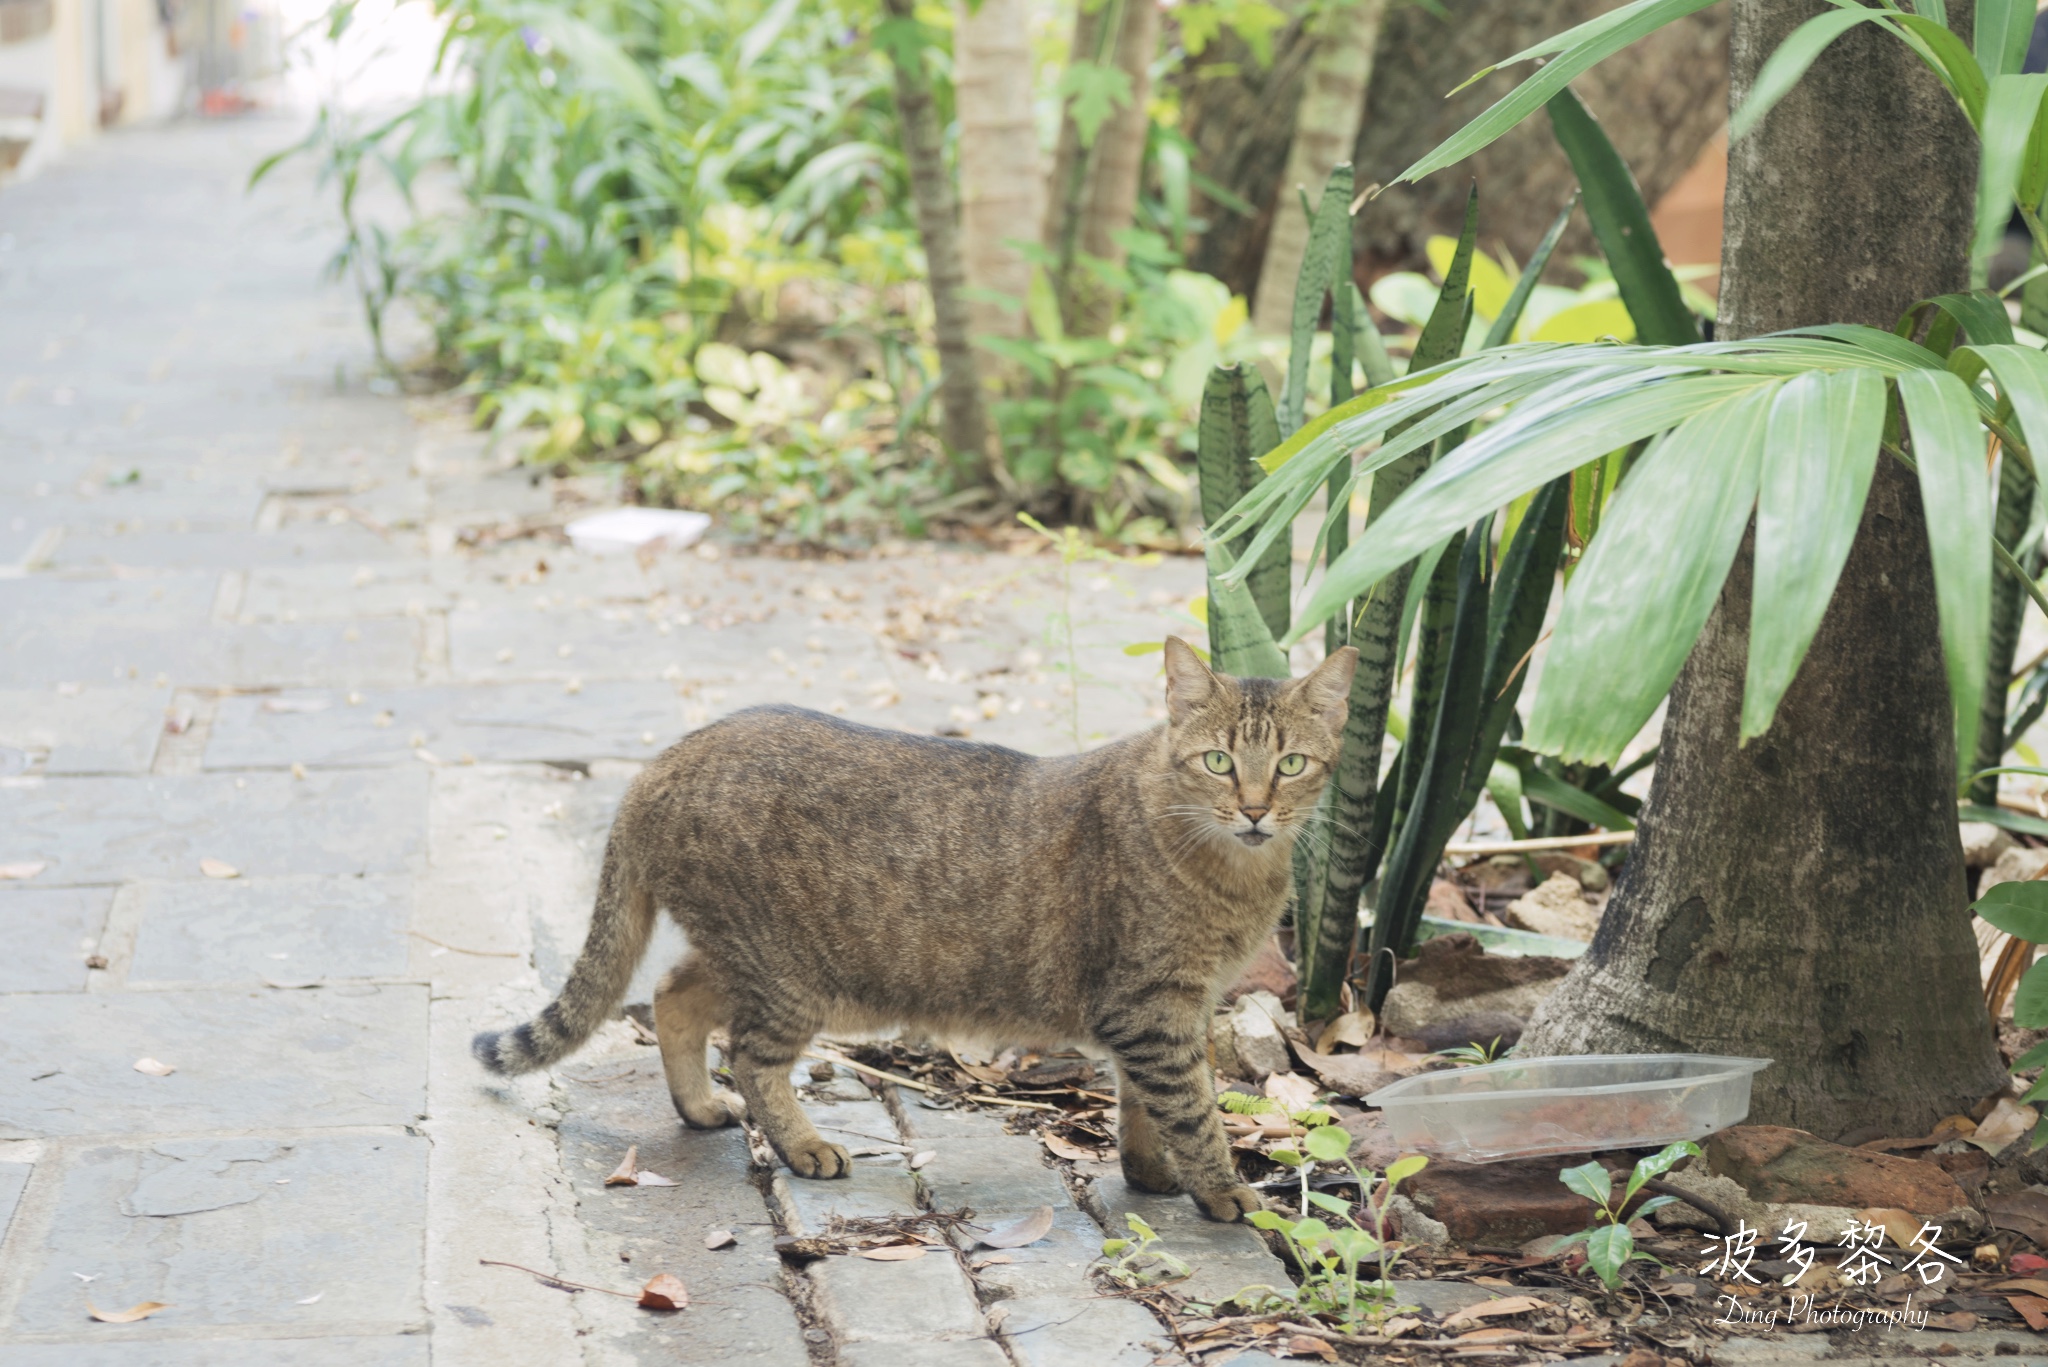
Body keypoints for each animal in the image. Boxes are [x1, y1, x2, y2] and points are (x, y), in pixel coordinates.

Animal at [471, 635, 1351, 1221]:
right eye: (1217, 762)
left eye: (1292, 764)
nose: (1255, 808)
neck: (1238, 876)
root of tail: (662, 762)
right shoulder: (1150, 1006)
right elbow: (1192, 1108)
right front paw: (1225, 1189)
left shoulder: (1170, 1008)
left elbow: (1143, 1104)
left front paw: (1151, 1170)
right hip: (788, 972)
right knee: (749, 1054)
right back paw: (802, 1144)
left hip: (741, 954)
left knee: (671, 995)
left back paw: (698, 1105)